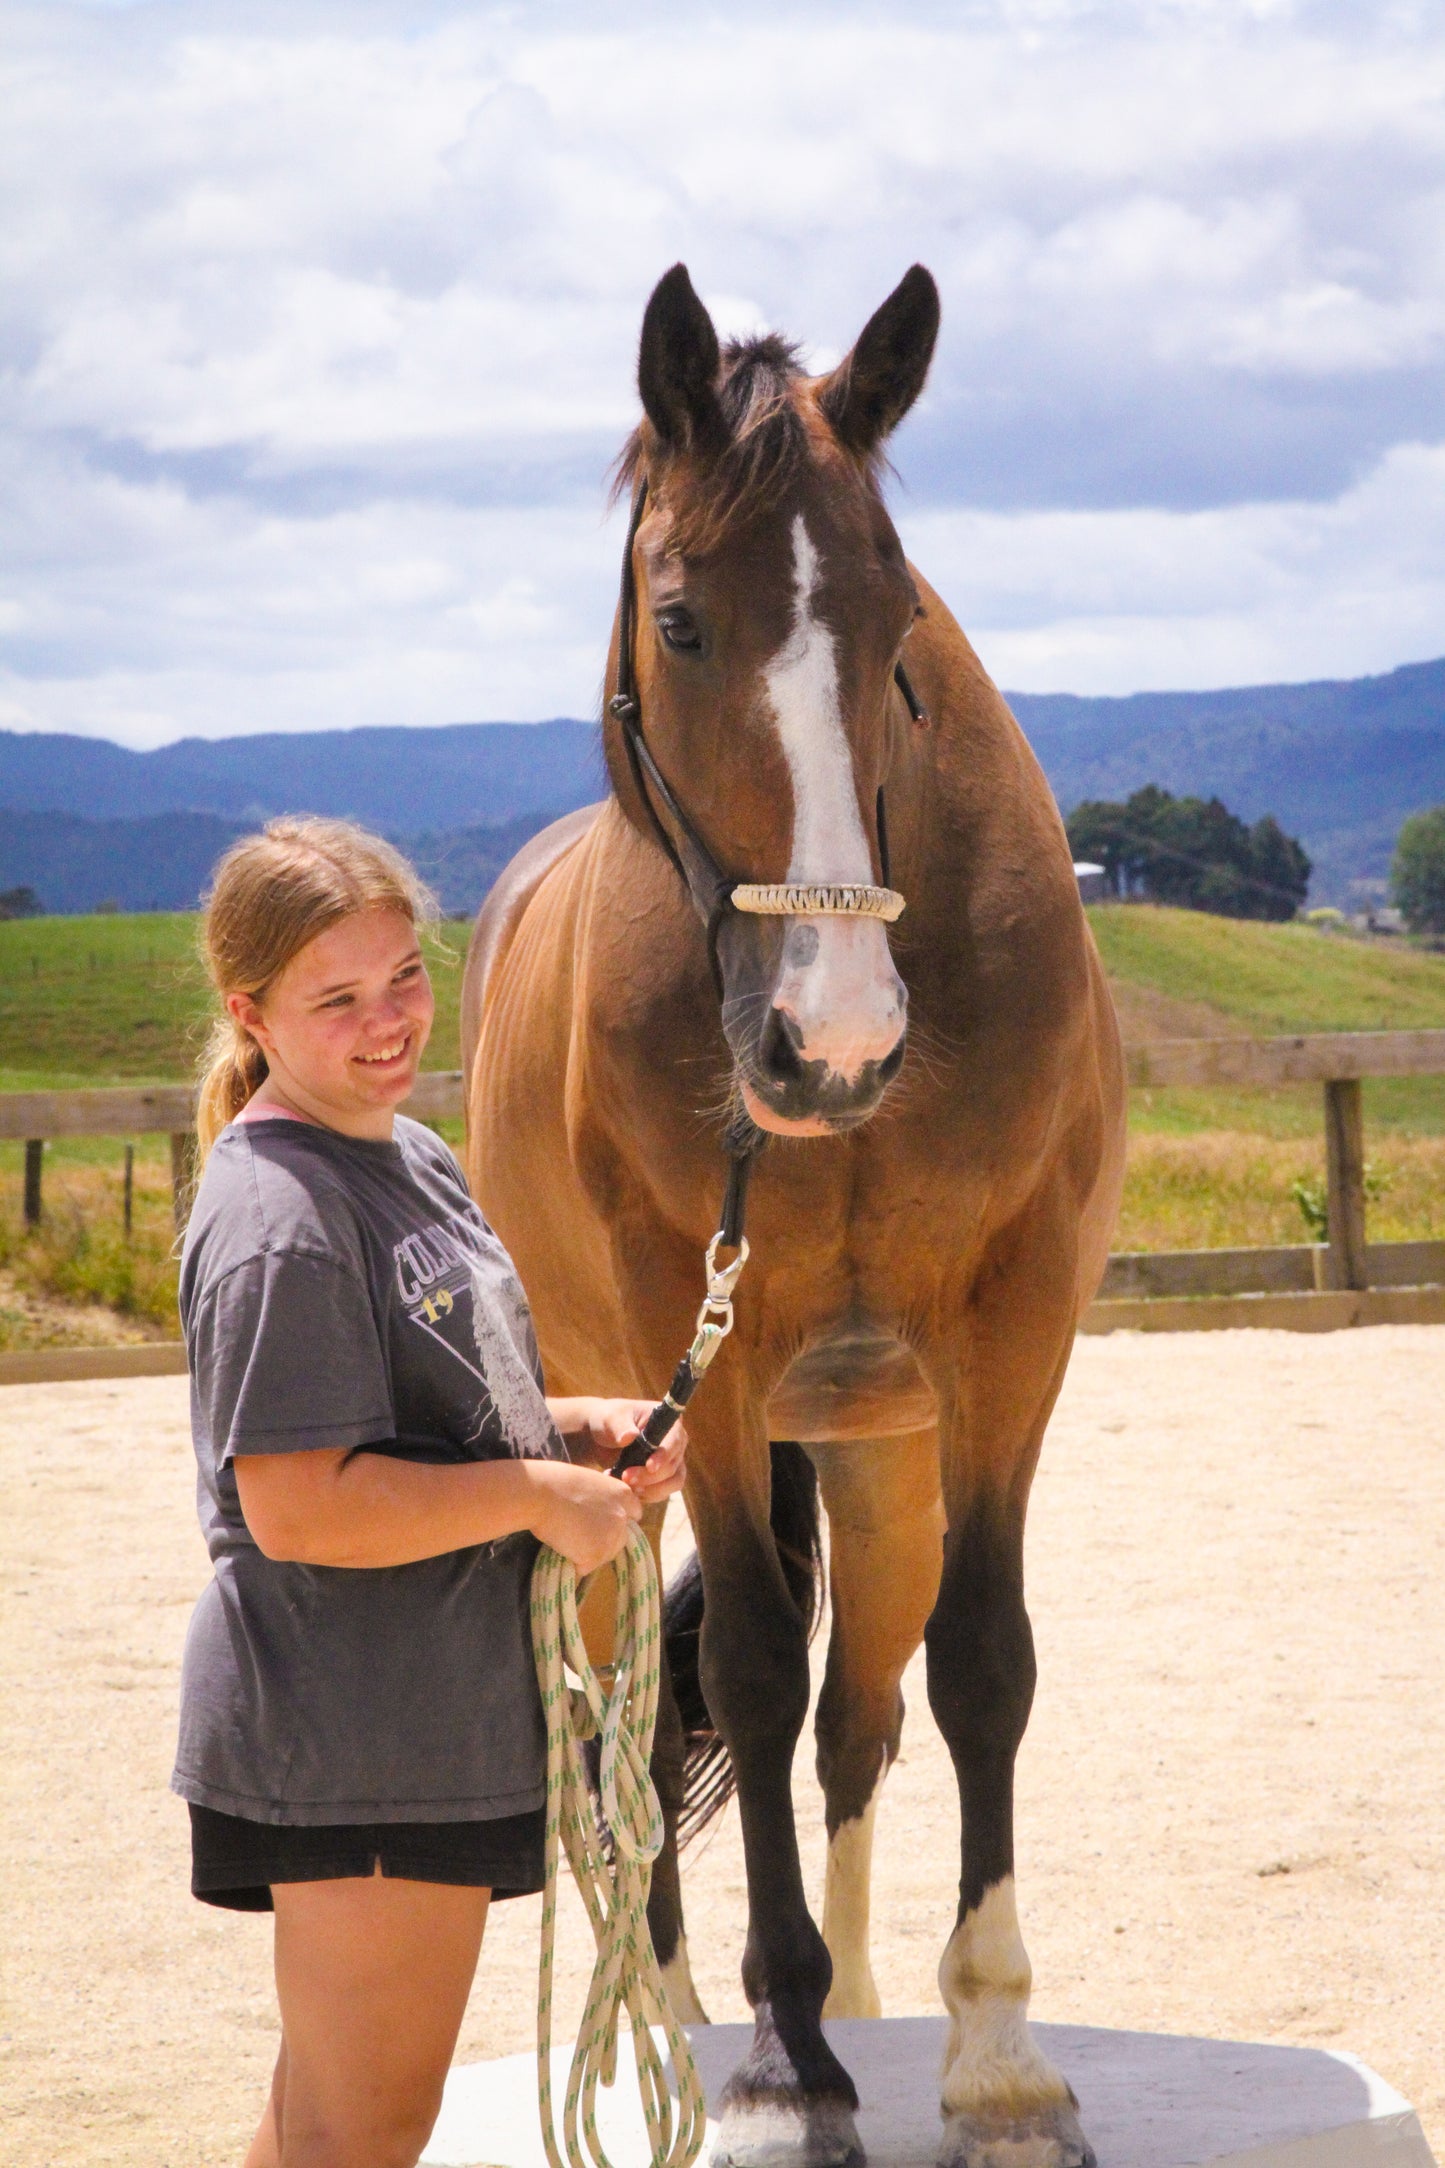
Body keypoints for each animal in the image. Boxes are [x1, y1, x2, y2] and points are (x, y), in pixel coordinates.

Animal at [463, 266, 1126, 2168]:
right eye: (681, 623)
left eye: (898, 632)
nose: (834, 1041)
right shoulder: (709, 1351)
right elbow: (747, 1671)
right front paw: (776, 2061)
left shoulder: (1010, 1338)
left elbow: (977, 1670)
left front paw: (990, 2051)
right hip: (615, 1449)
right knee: (620, 1724)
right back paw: (677, 2010)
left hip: (874, 1450)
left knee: (861, 1717)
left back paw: (862, 1995)